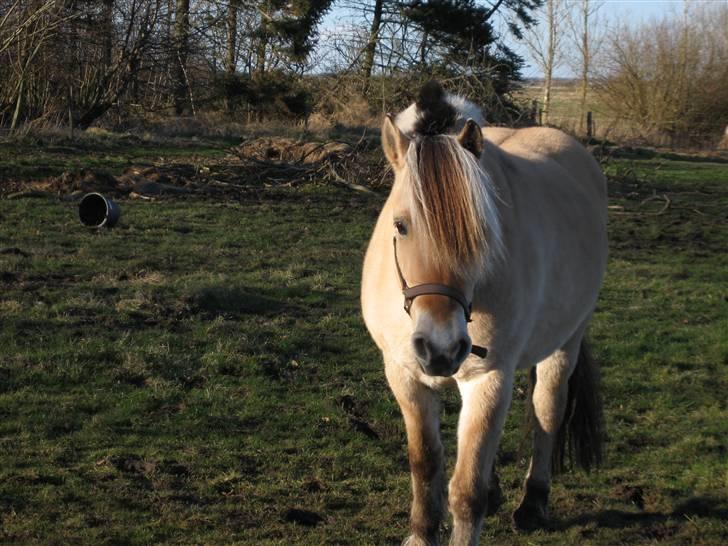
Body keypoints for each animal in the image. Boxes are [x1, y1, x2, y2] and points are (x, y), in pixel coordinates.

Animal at [362, 81, 604, 544]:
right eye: (400, 226)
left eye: (482, 231)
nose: (440, 347)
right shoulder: (404, 375)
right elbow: (426, 463)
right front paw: (421, 532)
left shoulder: (489, 377)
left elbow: (466, 489)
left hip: (565, 342)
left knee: (547, 410)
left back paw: (533, 503)